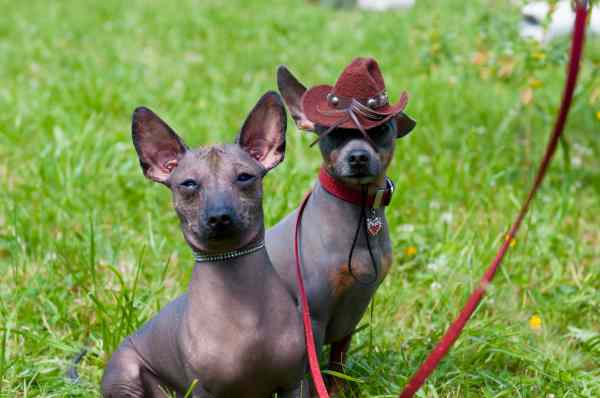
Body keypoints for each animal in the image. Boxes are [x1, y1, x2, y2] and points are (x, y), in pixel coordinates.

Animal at [101, 91, 308, 398]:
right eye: (188, 184)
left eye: (244, 177)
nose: (219, 216)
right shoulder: (203, 391)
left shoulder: (295, 383)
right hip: (126, 375)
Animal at [264, 57, 414, 394]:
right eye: (333, 134)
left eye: (380, 130)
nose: (358, 157)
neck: (361, 212)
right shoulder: (314, 319)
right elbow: (311, 377)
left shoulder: (351, 314)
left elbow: (337, 369)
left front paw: (339, 391)